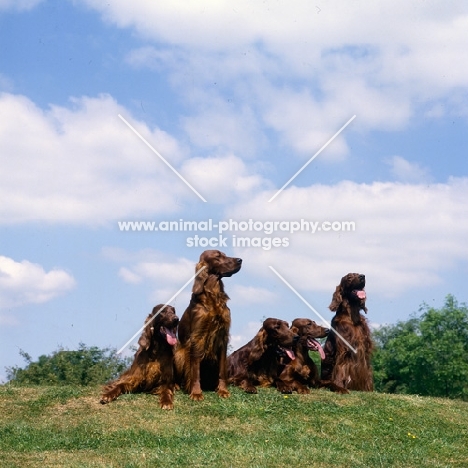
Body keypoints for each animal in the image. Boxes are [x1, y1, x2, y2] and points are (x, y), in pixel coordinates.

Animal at [175, 250, 243, 400]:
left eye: (225, 254)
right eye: (217, 256)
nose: (240, 260)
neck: (213, 296)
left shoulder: (223, 336)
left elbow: (222, 371)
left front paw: (223, 390)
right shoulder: (197, 338)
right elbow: (195, 371)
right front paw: (196, 392)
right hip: (179, 353)